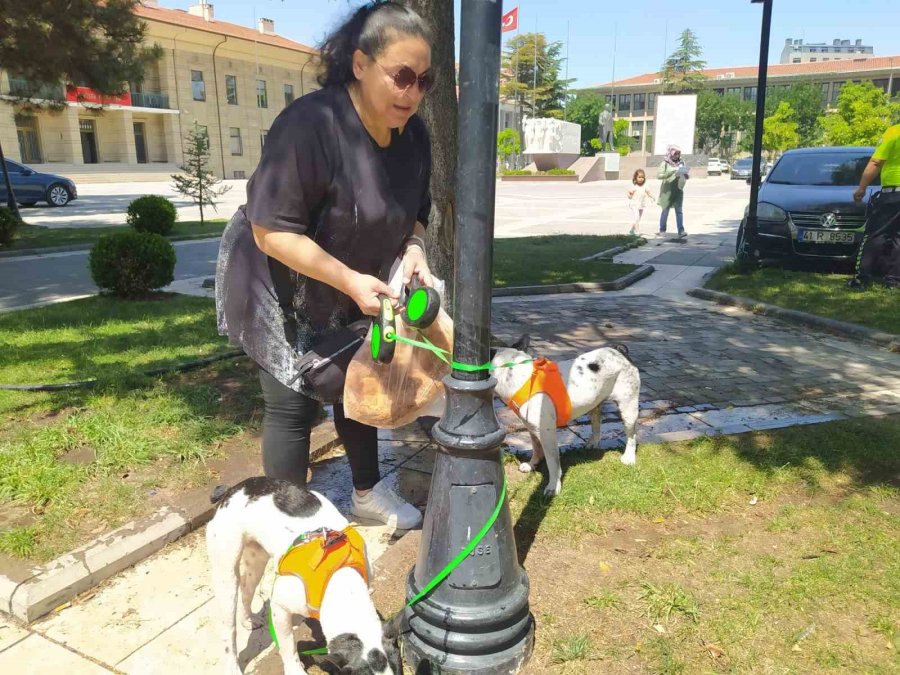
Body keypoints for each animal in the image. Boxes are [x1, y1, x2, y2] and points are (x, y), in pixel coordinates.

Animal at [492, 336, 640, 496]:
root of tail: (620, 351)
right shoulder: (532, 427)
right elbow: (536, 447)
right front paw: (532, 464)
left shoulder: (547, 433)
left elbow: (553, 462)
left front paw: (553, 486)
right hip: (595, 402)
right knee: (596, 421)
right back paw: (593, 443)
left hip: (628, 406)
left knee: (631, 434)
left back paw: (629, 457)